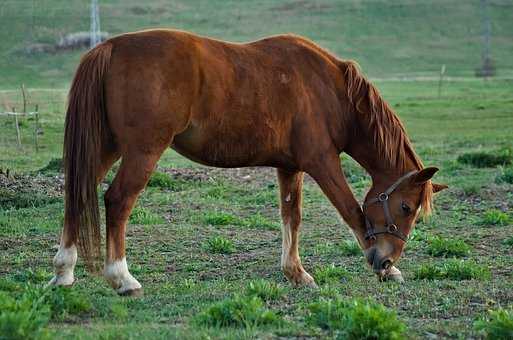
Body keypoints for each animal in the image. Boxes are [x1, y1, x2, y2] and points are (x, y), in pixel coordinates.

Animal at [50, 29, 446, 294]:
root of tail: (110, 46)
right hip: (141, 151)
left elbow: (291, 218)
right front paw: (384, 270)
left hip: (107, 147)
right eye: (406, 207)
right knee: (117, 201)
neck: (330, 90)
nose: (387, 259)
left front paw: (295, 272)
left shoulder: (290, 167)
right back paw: (122, 277)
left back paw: (63, 271)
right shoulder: (322, 162)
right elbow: (352, 211)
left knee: (78, 193)